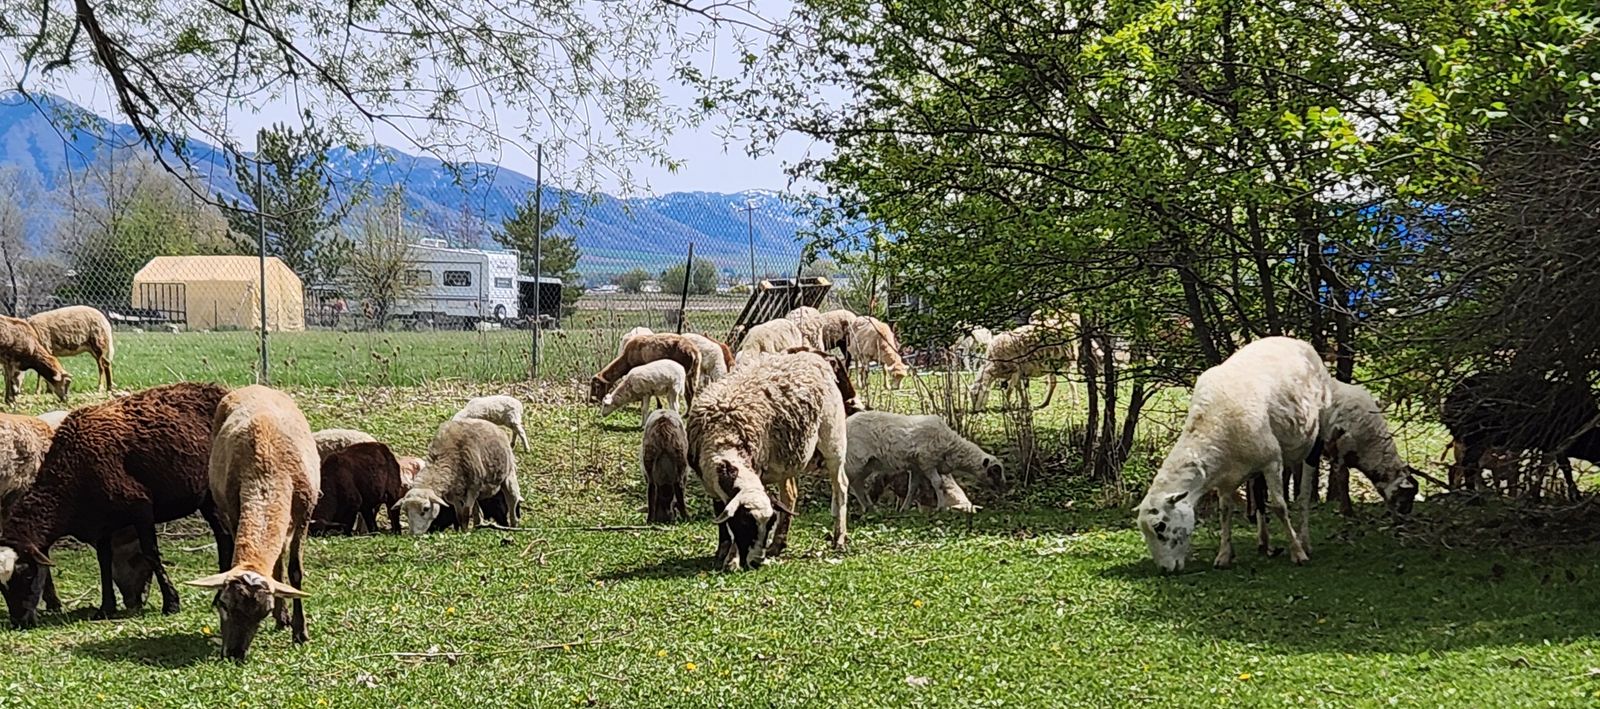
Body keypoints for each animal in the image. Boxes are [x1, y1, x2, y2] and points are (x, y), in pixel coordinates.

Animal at [0, 382, 233, 628]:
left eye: (26, 574)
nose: (18, 621)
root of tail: (221, 388)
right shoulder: (101, 523)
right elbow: (104, 561)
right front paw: (105, 608)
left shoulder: (141, 509)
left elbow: (151, 553)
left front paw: (171, 603)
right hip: (206, 498)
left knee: (224, 538)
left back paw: (218, 597)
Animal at [186, 385, 320, 661]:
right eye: (224, 604)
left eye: (263, 613)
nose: (235, 654)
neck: (268, 471)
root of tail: (256, 386)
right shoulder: (234, 510)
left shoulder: (305, 515)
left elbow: (295, 571)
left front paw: (300, 632)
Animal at [686, 351, 849, 571]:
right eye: (745, 523)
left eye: (769, 523)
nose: (756, 562)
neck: (723, 439)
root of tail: (812, 357)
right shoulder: (711, 486)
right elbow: (722, 518)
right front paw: (722, 551)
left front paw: (732, 560)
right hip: (787, 459)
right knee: (790, 495)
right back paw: (777, 545)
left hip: (833, 441)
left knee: (840, 486)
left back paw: (839, 538)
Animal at [844, 411, 996, 514]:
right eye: (994, 471)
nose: (999, 488)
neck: (952, 447)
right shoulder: (927, 462)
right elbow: (938, 483)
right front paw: (941, 508)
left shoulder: (916, 467)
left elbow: (912, 487)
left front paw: (904, 508)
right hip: (854, 461)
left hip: (867, 464)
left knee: (857, 485)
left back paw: (869, 508)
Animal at [1135, 337, 1330, 572]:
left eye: (1160, 527)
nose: (1165, 570)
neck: (1211, 424)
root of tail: (1295, 340)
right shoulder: (1225, 476)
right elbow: (1225, 511)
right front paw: (1224, 555)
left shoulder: (1272, 460)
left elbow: (1280, 507)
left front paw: (1298, 552)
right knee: (1258, 494)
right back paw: (1264, 541)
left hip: (1315, 437)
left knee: (1303, 494)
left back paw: (1304, 540)